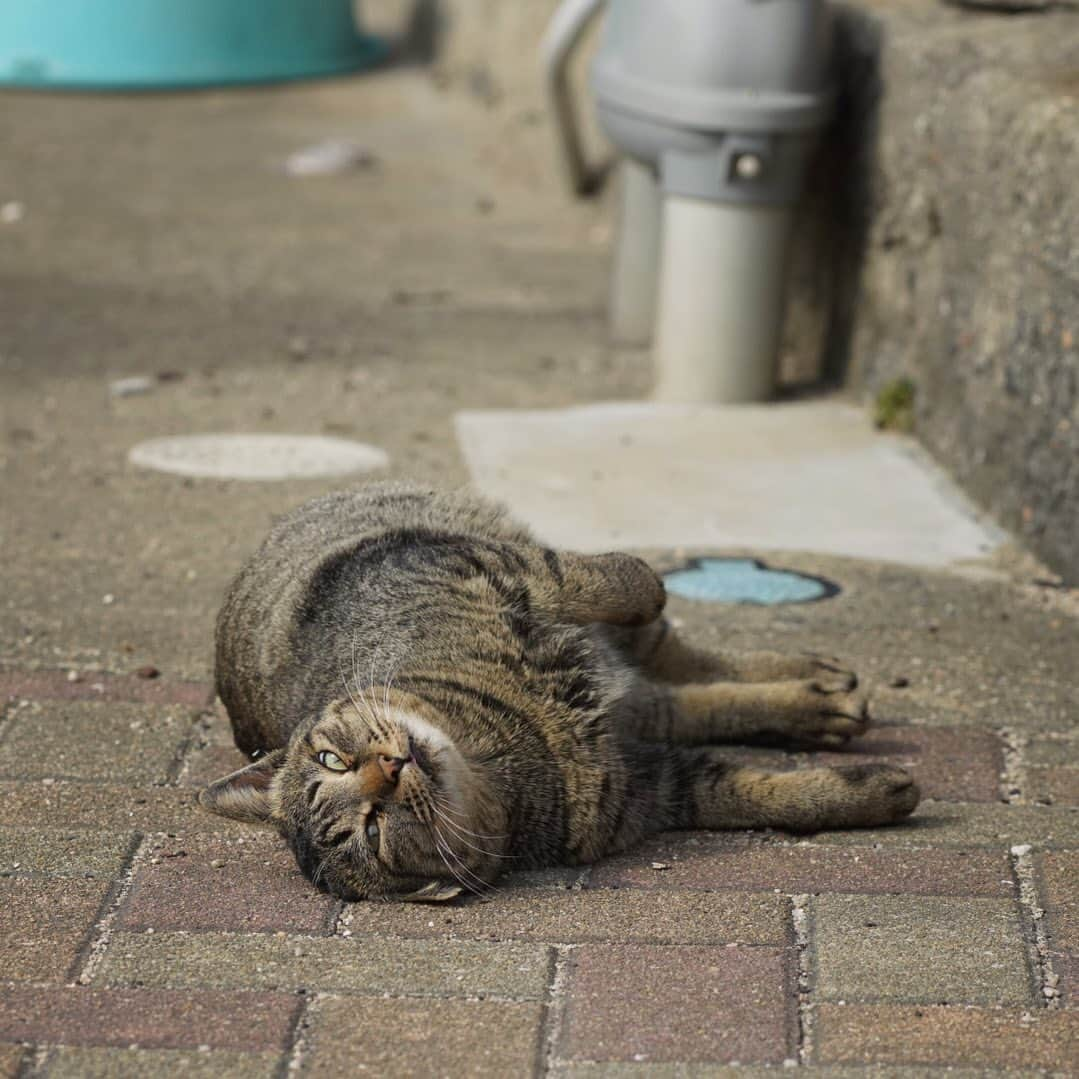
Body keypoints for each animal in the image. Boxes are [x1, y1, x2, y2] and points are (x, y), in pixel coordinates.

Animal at [202, 483, 919, 902]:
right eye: (370, 831)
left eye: (331, 758)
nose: (390, 767)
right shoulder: (655, 790)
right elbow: (761, 793)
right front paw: (876, 793)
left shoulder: (489, 563)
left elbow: (626, 578)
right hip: (645, 716)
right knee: (695, 697)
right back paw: (821, 706)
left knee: (675, 649)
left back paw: (819, 676)